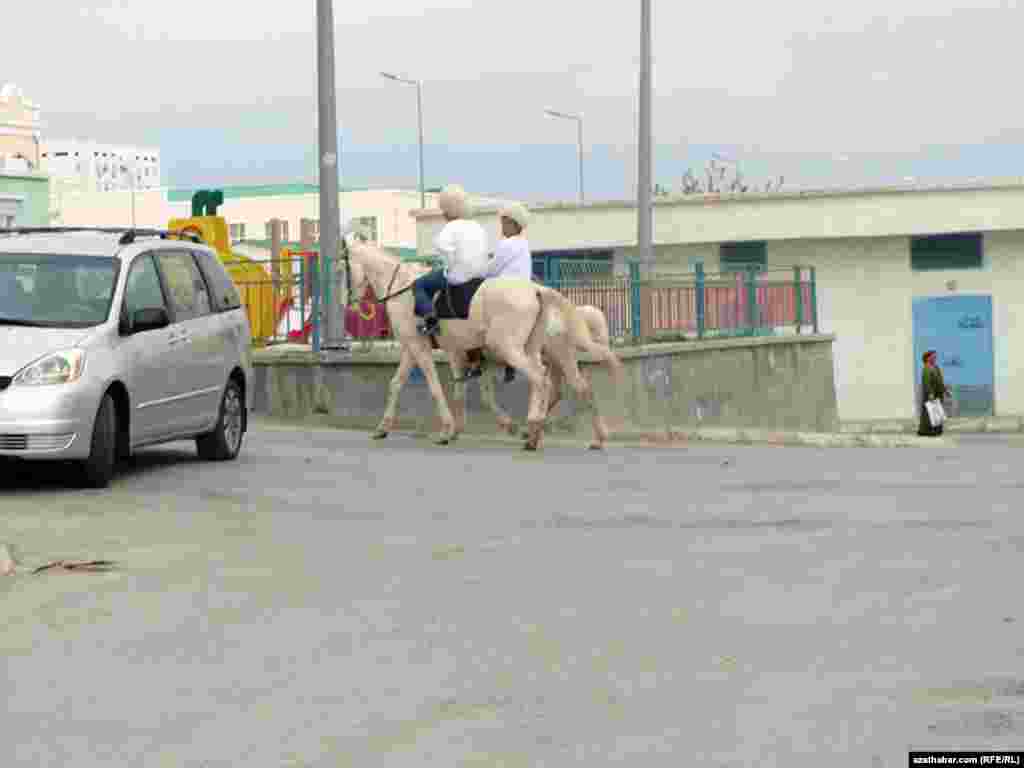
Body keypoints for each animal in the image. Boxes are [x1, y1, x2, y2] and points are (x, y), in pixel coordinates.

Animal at [342, 237, 622, 448]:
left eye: (343, 267)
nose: (351, 301)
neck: (402, 288)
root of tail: (537, 291)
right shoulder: (426, 350)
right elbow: (398, 383)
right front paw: (384, 427)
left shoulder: (420, 346)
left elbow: (436, 387)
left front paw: (448, 429)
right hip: (550, 353)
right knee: (571, 386)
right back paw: (581, 435)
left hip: (512, 348)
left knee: (542, 380)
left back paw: (534, 428)